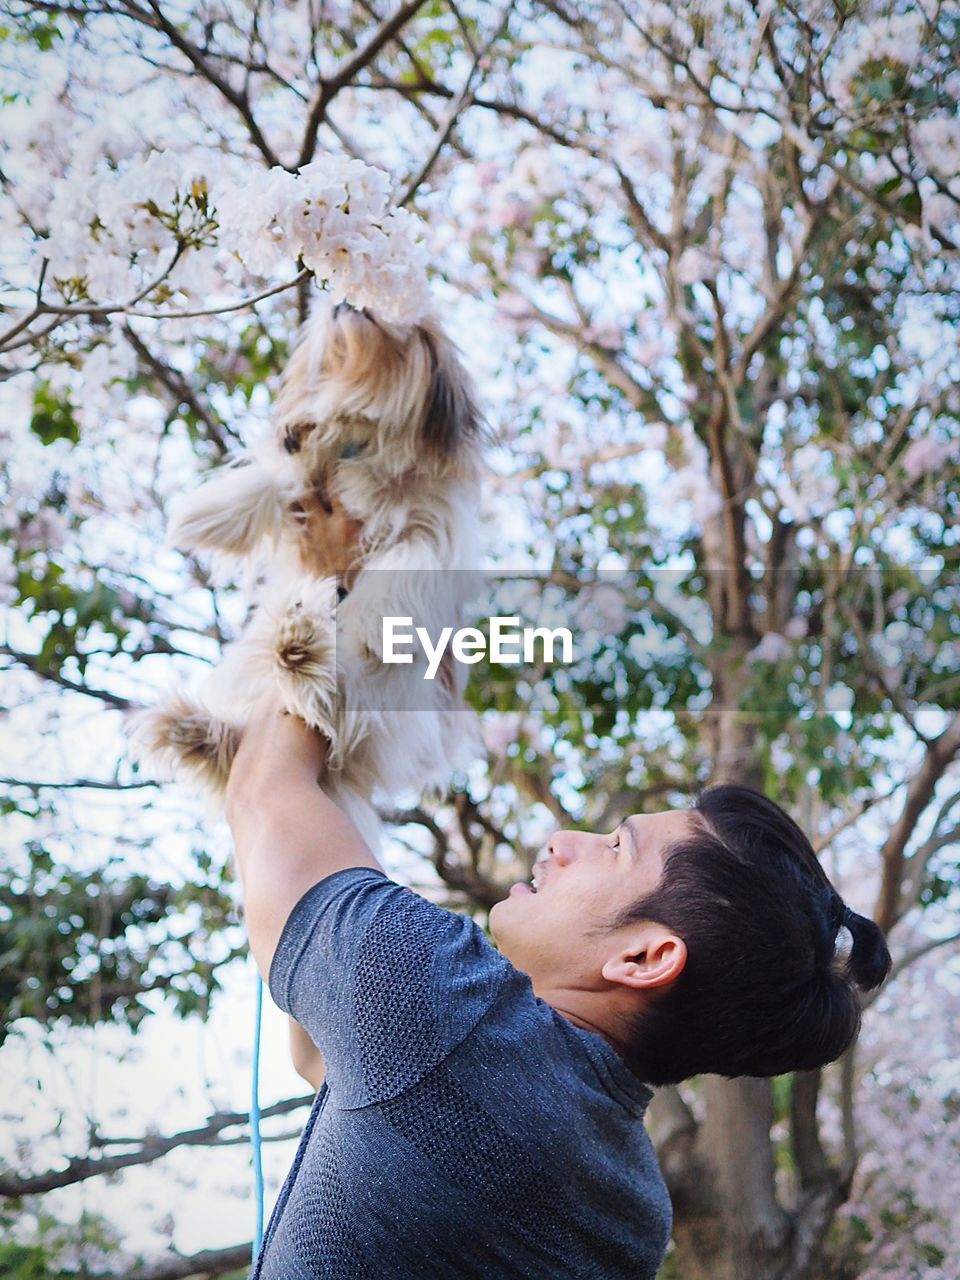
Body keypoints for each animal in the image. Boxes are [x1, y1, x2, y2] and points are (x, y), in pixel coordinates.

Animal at [128, 303, 483, 855]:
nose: (347, 301)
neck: (359, 436)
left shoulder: (433, 519)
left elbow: (411, 555)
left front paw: (377, 617)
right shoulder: (309, 479)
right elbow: (275, 478)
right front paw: (208, 514)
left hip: (394, 694)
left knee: (341, 710)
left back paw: (303, 658)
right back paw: (199, 731)